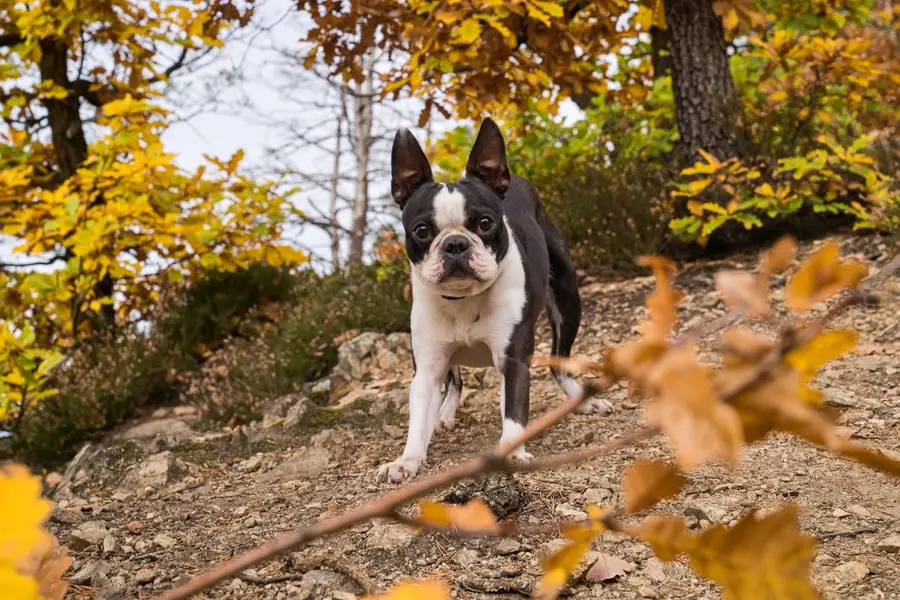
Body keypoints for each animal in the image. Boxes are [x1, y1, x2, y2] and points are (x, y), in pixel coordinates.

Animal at [376, 117, 616, 482]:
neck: (463, 299)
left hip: (568, 301)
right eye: (421, 230)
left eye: (485, 223)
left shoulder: (513, 358)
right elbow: (418, 418)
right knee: (455, 380)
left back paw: (583, 400)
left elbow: (514, 412)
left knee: (559, 363)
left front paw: (513, 451)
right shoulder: (427, 368)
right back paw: (444, 414)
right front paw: (407, 460)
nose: (456, 244)